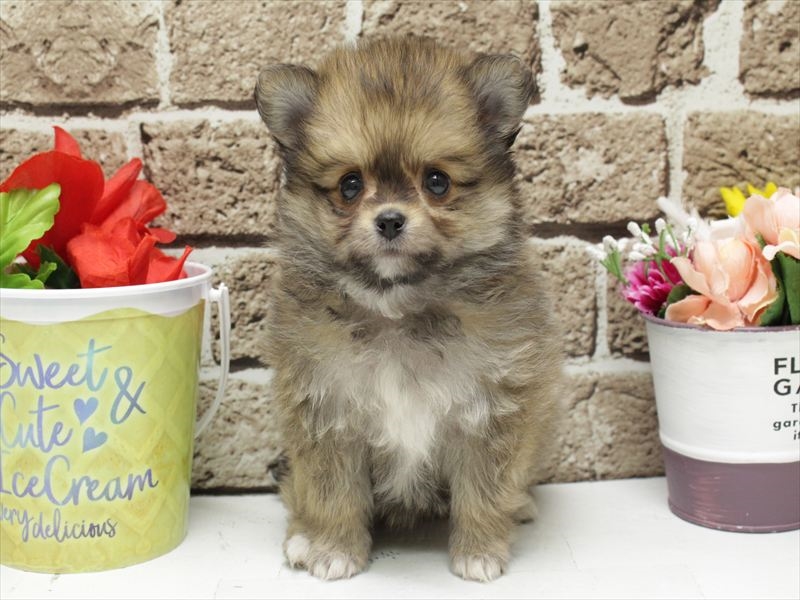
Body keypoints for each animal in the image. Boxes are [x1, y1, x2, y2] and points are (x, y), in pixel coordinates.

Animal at [255, 36, 563, 582]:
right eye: (350, 185)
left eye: (437, 182)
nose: (390, 220)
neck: (397, 311)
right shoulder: (326, 413)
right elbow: (332, 492)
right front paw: (333, 548)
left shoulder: (491, 410)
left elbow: (484, 491)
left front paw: (479, 551)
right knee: (298, 492)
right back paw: (302, 538)